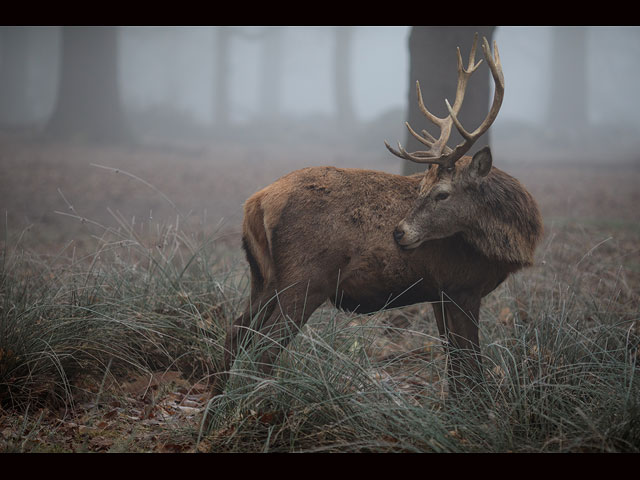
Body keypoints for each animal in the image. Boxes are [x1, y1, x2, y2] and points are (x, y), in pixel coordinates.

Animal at [216, 34, 544, 398]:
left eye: (441, 193)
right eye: (424, 188)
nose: (399, 232)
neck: (509, 243)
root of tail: (256, 202)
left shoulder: (439, 293)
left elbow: (455, 362)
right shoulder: (462, 287)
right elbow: (471, 364)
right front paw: (475, 408)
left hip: (263, 277)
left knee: (236, 332)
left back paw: (217, 403)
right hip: (305, 278)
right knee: (266, 346)